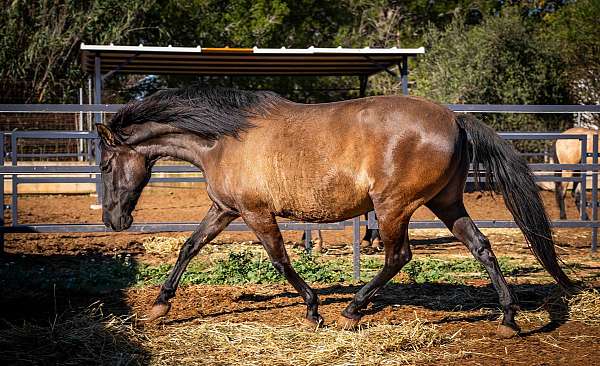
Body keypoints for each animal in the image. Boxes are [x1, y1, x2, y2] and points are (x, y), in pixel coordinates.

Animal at [96, 88, 576, 338]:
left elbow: (280, 260)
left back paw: (353, 310)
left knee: (399, 256)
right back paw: (508, 319)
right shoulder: (224, 209)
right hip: (446, 203)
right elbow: (189, 248)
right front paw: (159, 306)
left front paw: (314, 310)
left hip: (393, 206)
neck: (223, 140)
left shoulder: (255, 213)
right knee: (481, 247)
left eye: (104, 165)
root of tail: (455, 120)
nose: (113, 221)